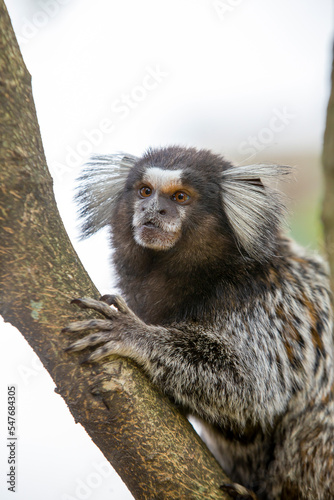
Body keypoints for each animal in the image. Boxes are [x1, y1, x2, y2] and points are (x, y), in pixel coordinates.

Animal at [64, 146, 332, 498]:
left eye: (181, 197)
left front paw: (133, 335)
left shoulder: (265, 304)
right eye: (145, 191)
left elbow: (252, 393)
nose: (155, 210)